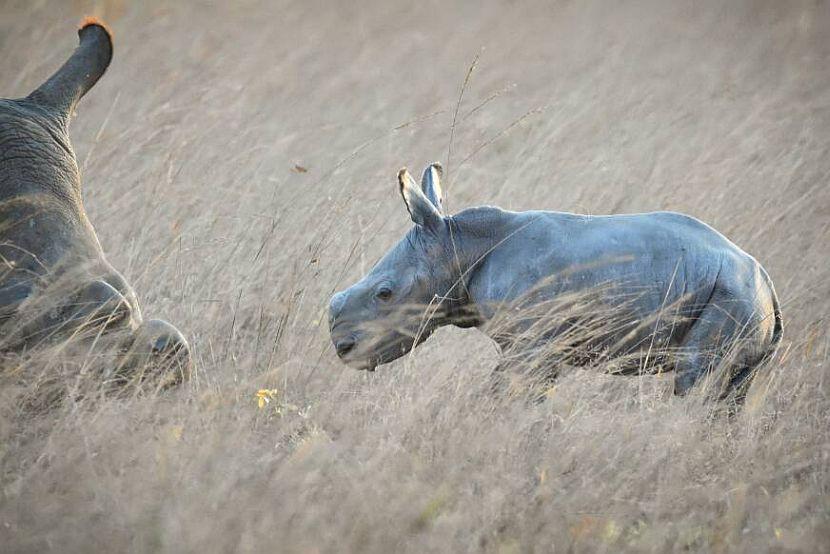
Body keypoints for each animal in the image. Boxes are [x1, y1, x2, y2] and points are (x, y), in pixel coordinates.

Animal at [328, 162, 784, 394]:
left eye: (385, 293)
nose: (343, 349)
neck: (458, 243)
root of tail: (767, 284)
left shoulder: (532, 346)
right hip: (737, 296)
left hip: (730, 295)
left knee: (695, 380)